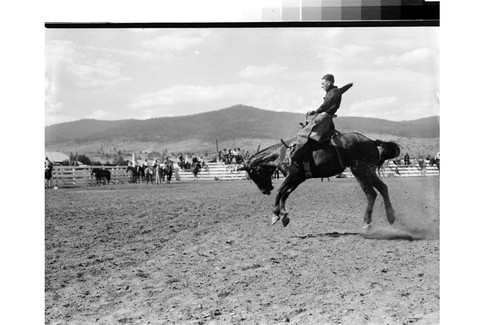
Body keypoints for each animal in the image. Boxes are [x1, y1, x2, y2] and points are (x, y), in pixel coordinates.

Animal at [237, 130, 398, 229]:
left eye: (253, 174)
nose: (265, 190)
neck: (284, 154)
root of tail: (371, 141)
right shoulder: (298, 179)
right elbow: (285, 193)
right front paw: (284, 215)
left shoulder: (292, 176)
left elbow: (280, 191)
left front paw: (276, 214)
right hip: (369, 172)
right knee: (383, 188)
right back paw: (391, 216)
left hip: (360, 172)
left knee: (371, 194)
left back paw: (367, 222)